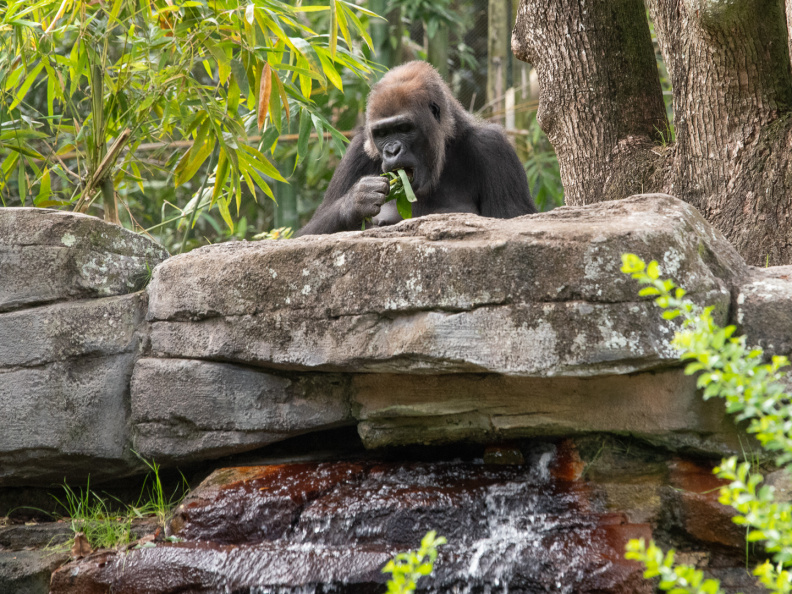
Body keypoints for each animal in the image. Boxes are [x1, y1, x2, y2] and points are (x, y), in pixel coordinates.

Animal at [296, 61, 536, 236]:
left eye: (403, 128)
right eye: (382, 134)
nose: (392, 151)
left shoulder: (494, 147)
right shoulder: (358, 150)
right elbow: (306, 233)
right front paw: (355, 201)